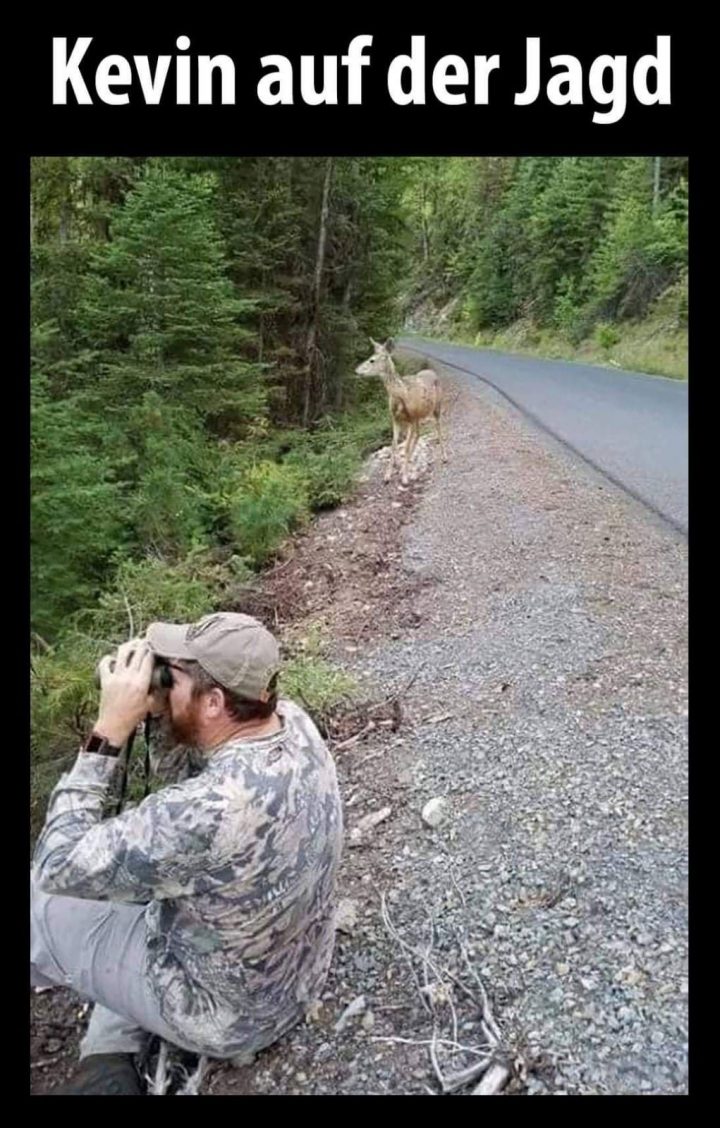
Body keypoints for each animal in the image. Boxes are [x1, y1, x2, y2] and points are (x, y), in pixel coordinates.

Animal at [354, 338, 449, 489]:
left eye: (372, 360)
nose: (356, 370)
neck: (402, 394)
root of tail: (432, 371)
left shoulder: (411, 419)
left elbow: (405, 447)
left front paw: (404, 477)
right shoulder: (395, 419)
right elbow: (394, 445)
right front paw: (388, 476)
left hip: (437, 407)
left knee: (439, 428)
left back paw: (444, 457)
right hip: (418, 417)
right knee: (418, 434)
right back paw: (409, 462)